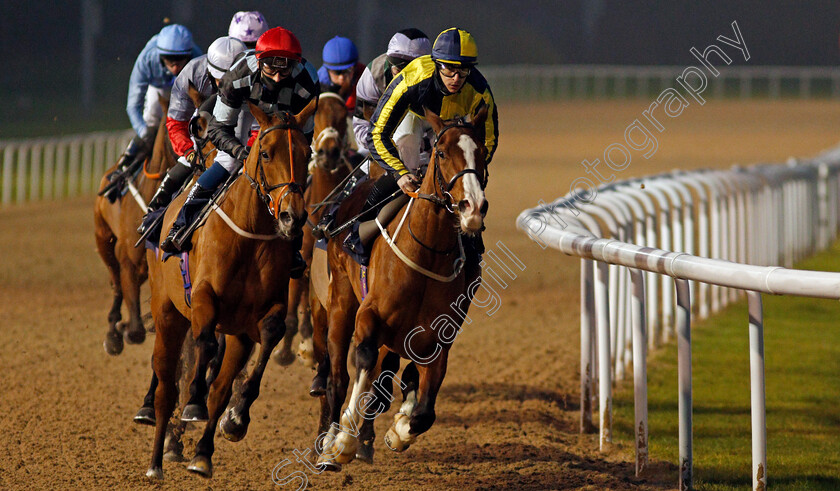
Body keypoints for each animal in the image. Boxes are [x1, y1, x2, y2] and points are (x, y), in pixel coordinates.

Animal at [143, 98, 316, 478]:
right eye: (265, 152)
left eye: (306, 151)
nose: (292, 217)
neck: (250, 235)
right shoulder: (203, 297)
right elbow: (205, 344)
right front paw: (194, 402)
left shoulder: (261, 314)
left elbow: (269, 336)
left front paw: (237, 418)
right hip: (167, 314)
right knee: (165, 386)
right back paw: (156, 462)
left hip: (236, 335)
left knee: (220, 389)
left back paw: (202, 455)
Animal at [312, 108, 488, 468]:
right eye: (442, 152)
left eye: (481, 152)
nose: (473, 207)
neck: (427, 251)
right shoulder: (369, 316)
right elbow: (364, 359)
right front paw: (343, 442)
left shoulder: (438, 340)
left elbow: (425, 412)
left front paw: (400, 429)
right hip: (340, 303)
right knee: (337, 379)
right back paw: (329, 444)